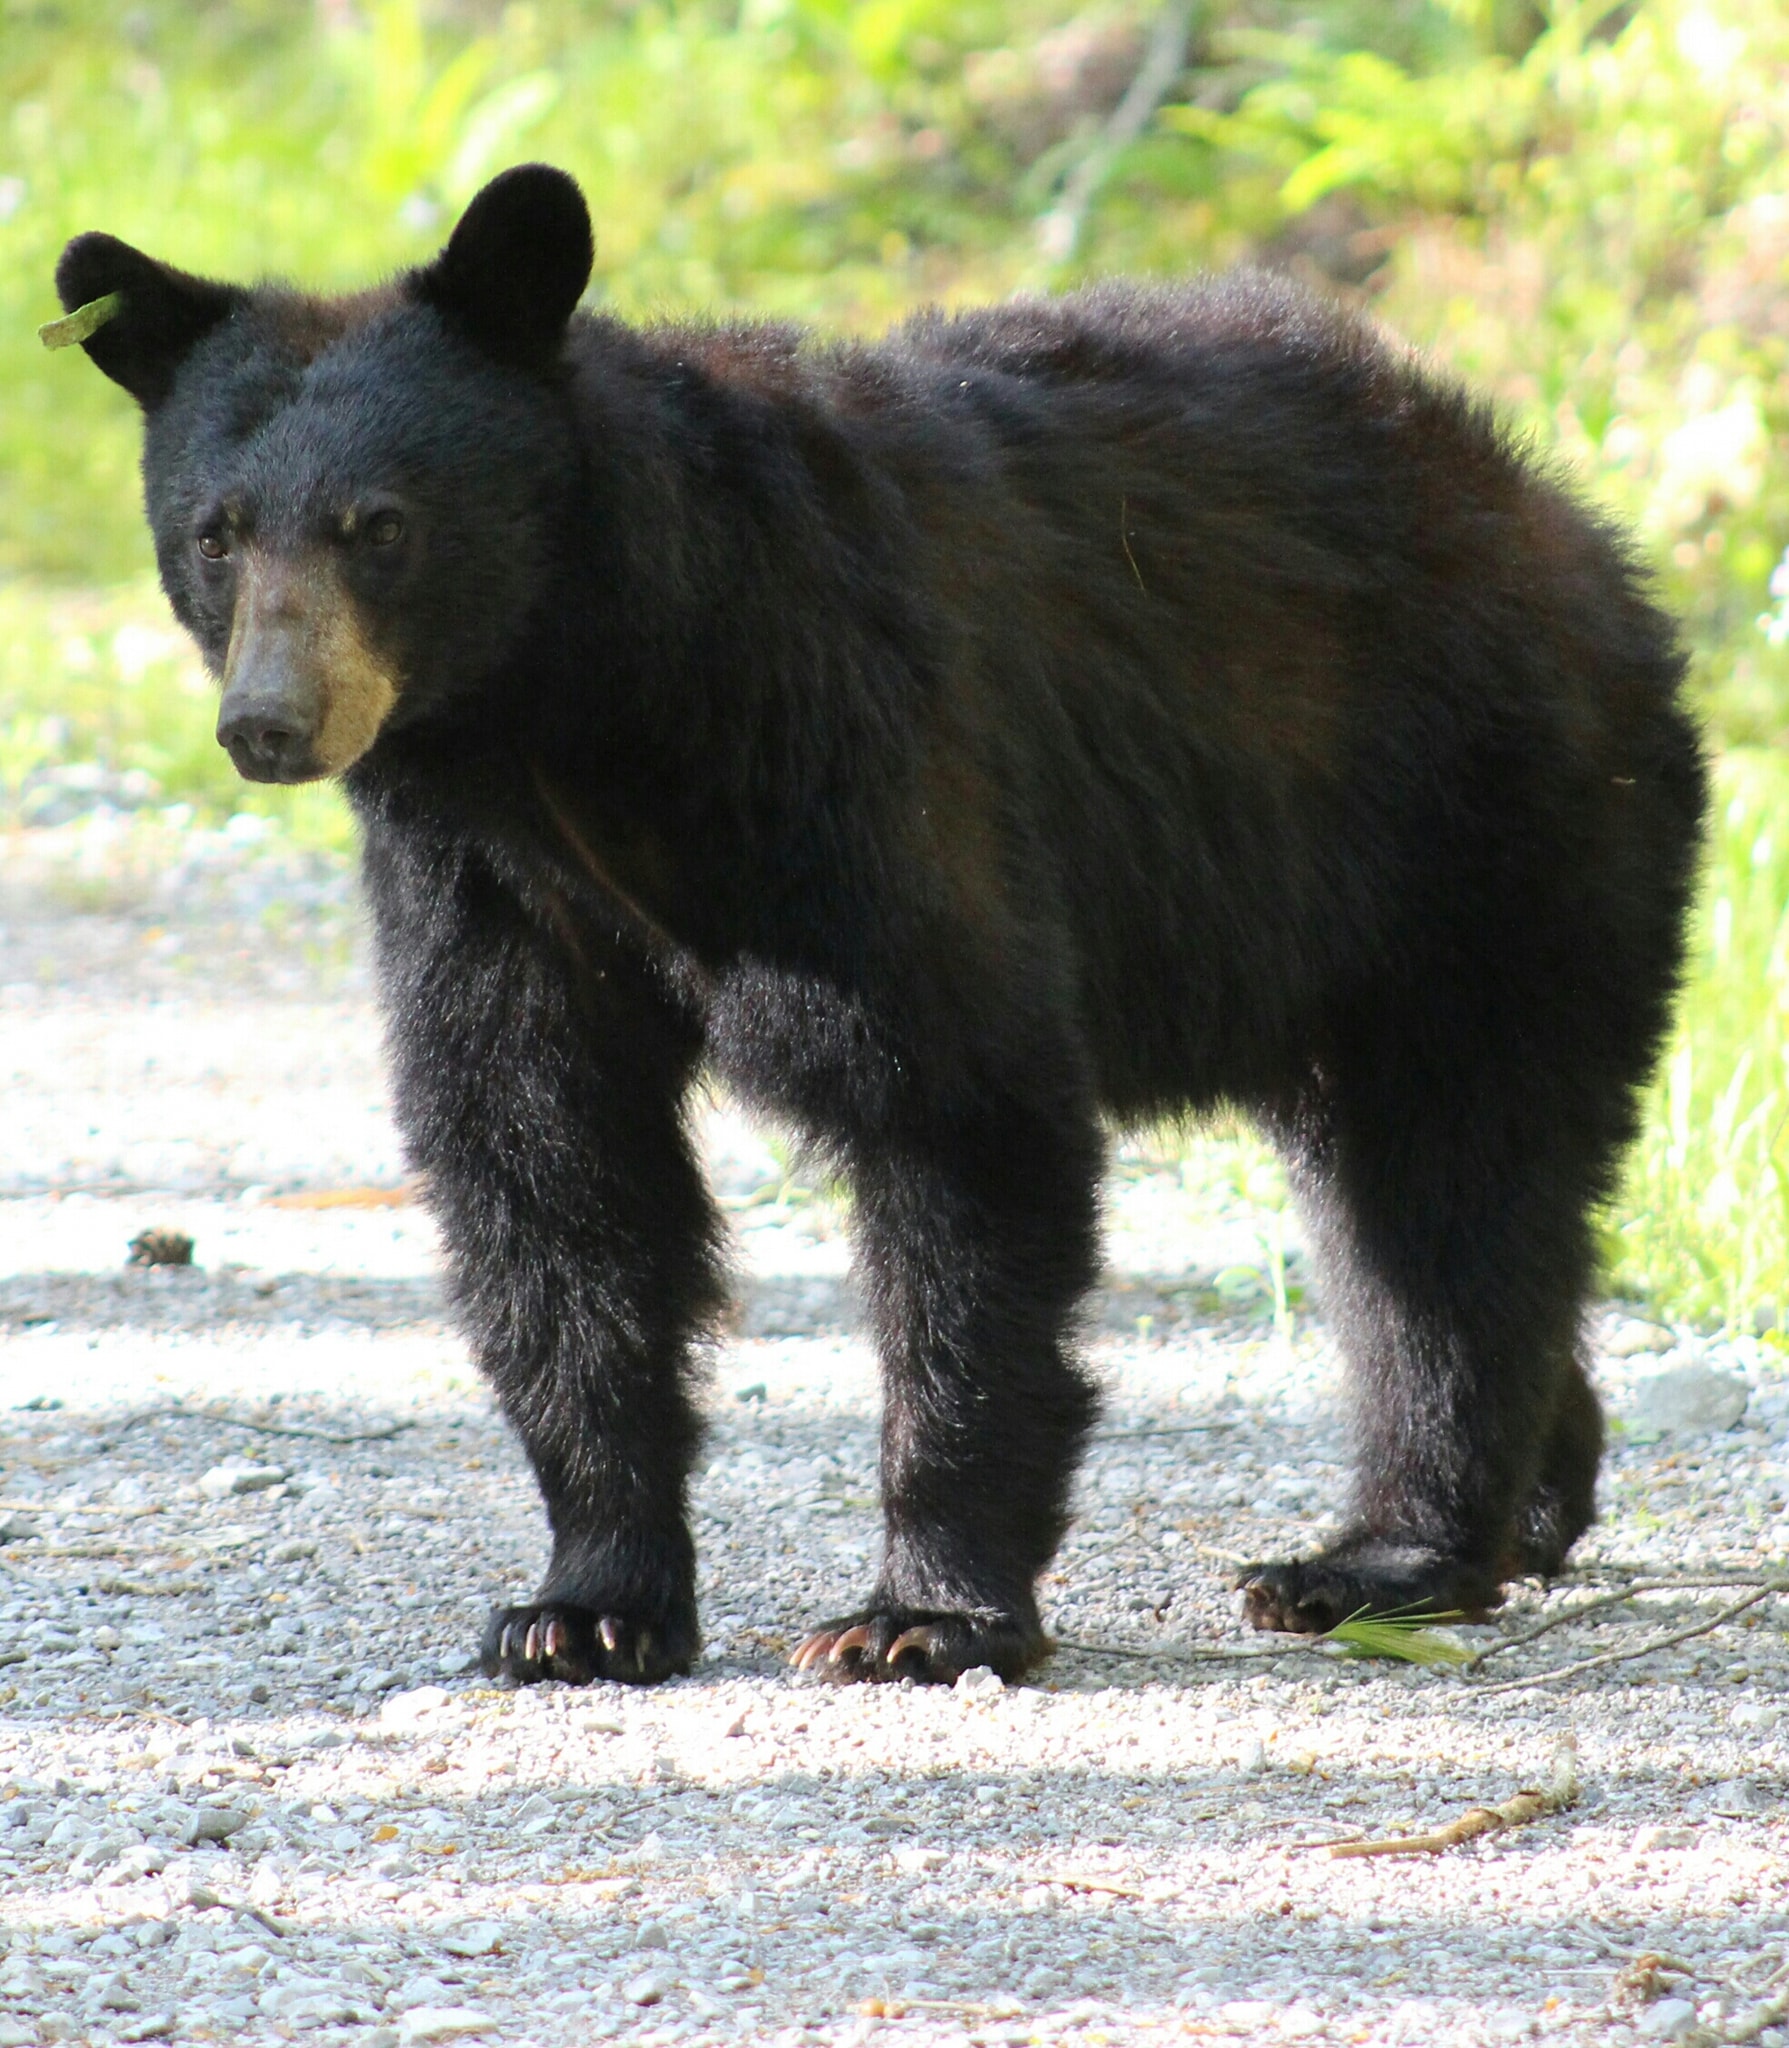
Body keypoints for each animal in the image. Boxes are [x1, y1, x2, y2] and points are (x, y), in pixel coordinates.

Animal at [52, 164, 1705, 1687]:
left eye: (378, 525)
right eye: (215, 533)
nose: (270, 723)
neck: (574, 719)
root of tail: (1563, 522)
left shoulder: (850, 755)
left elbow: (953, 1109)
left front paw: (922, 1613)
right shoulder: (484, 884)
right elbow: (545, 1163)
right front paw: (582, 1602)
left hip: (1480, 832)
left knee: (1446, 1186)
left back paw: (1386, 1552)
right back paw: (1534, 1500)